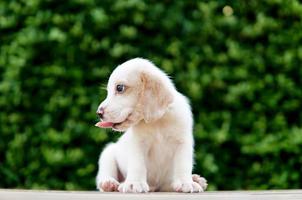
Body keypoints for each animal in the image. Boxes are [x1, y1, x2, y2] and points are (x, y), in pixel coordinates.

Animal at [95, 57, 206, 192]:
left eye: (120, 88)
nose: (98, 113)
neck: (158, 121)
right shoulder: (138, 144)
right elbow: (138, 164)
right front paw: (134, 183)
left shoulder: (183, 142)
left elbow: (183, 164)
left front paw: (186, 182)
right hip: (108, 153)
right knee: (105, 175)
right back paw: (110, 183)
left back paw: (196, 179)